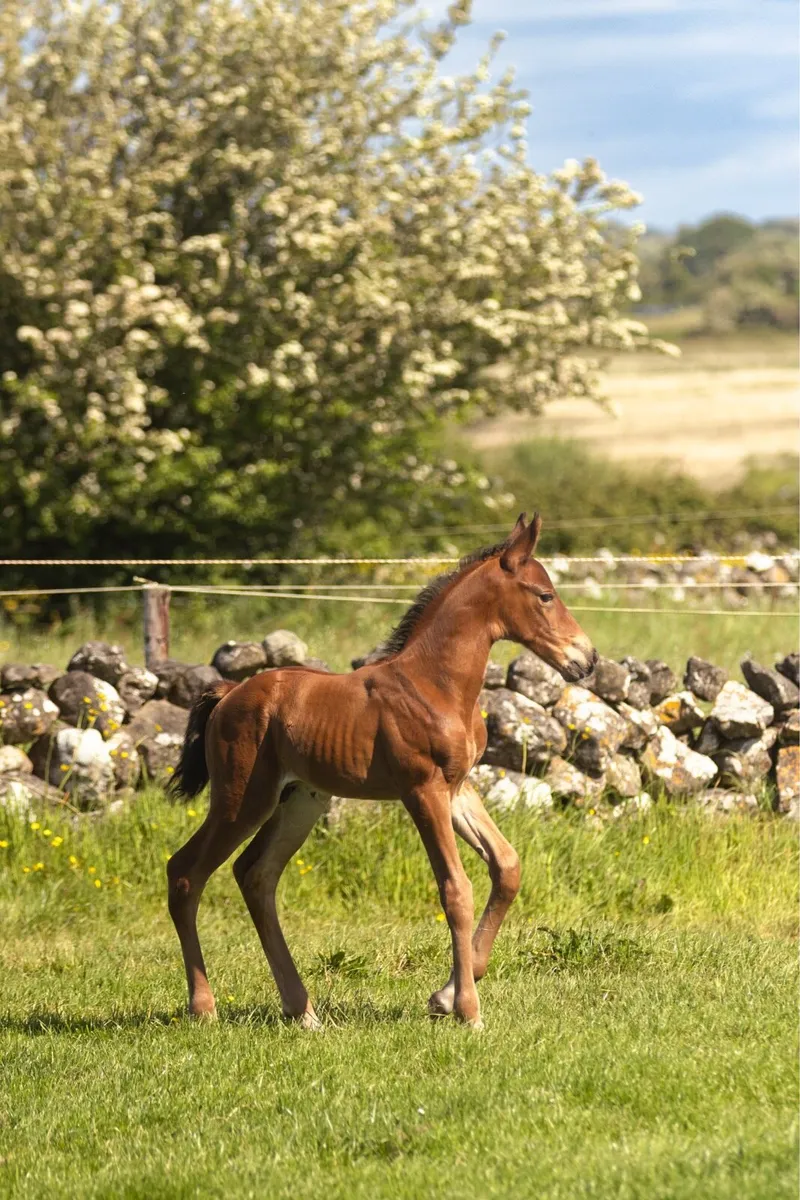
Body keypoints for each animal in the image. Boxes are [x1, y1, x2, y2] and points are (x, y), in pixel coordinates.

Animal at [167, 513, 597, 1028]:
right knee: (185, 873)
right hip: (241, 798)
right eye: (545, 595)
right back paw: (204, 1007)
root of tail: (228, 693)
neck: (436, 685)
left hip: (299, 801)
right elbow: (456, 890)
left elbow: (507, 866)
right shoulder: (422, 791)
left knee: (256, 874)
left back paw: (302, 1010)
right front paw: (468, 1010)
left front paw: (445, 996)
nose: (587, 659)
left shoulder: (458, 789)